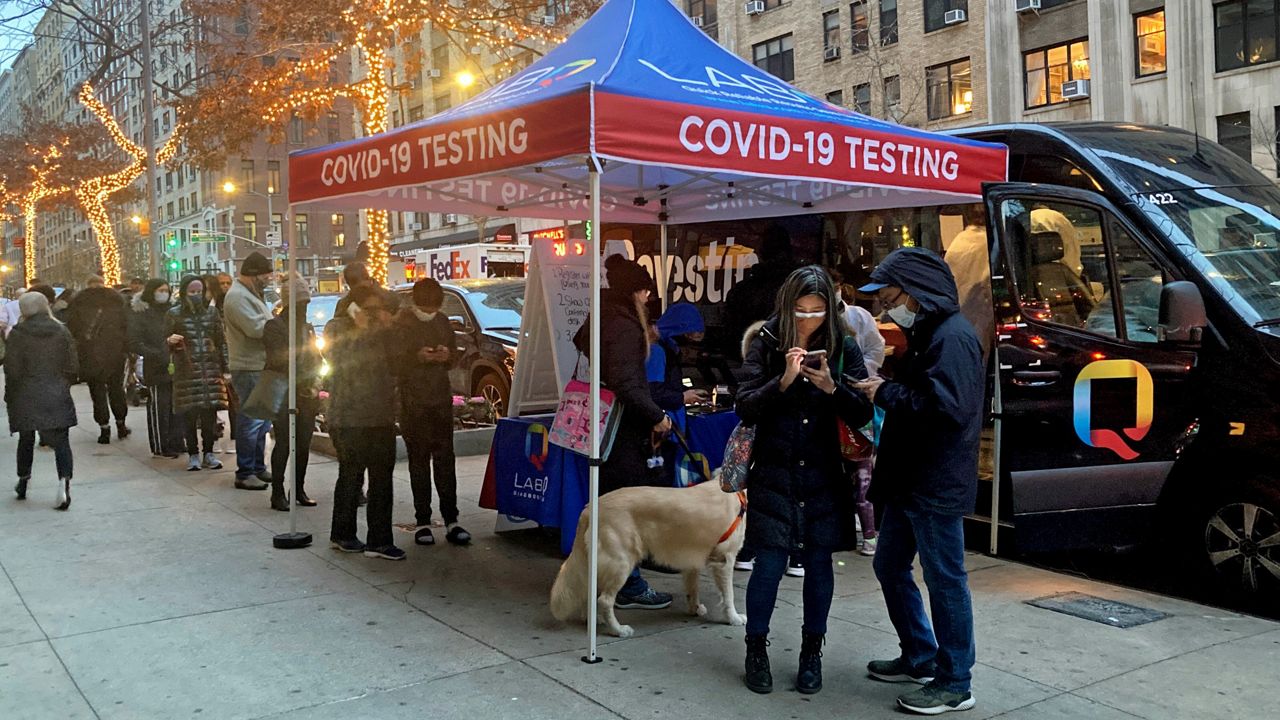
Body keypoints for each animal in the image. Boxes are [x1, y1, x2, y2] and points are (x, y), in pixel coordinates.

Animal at [547, 474, 747, 635]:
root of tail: (589, 508)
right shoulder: (724, 559)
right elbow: (728, 595)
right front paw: (734, 618)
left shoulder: (691, 560)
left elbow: (693, 588)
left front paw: (695, 609)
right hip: (621, 562)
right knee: (605, 600)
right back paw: (618, 630)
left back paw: (593, 620)